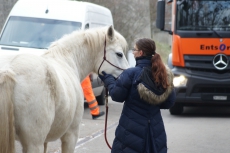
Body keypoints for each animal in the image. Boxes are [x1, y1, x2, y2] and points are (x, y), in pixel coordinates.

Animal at [0, 26, 129, 153]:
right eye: (119, 54)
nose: (127, 73)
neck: (68, 60)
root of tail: (8, 71)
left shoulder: (46, 141)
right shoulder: (71, 135)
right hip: (34, 144)